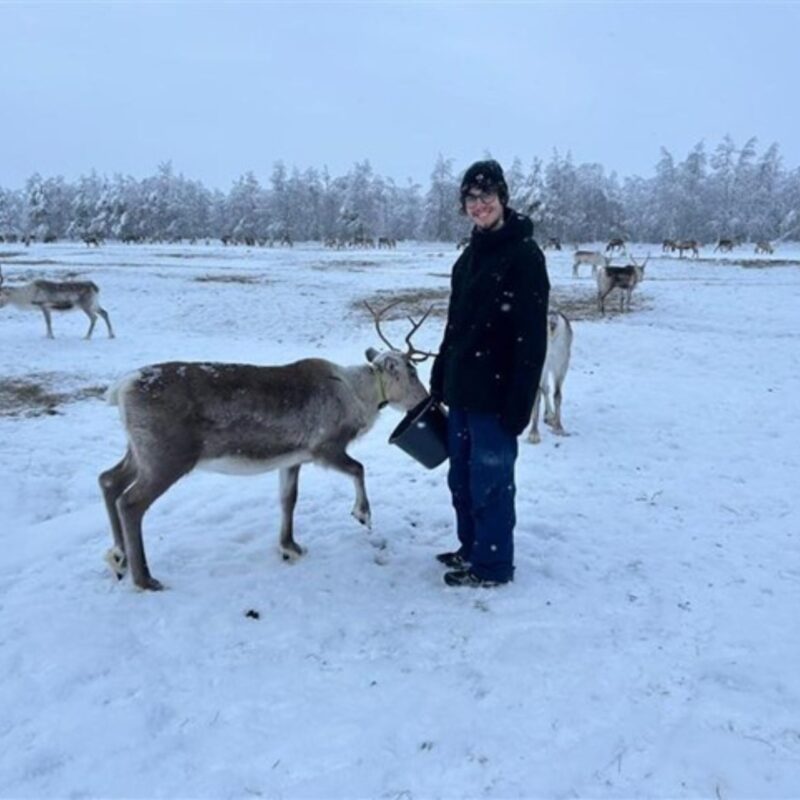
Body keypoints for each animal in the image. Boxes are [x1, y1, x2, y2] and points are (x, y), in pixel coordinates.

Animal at [98, 301, 433, 591]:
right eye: (412, 371)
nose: (426, 399)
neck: (359, 395)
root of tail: (121, 388)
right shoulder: (324, 448)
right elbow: (359, 469)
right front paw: (362, 514)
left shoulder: (293, 457)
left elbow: (288, 499)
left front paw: (290, 547)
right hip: (167, 457)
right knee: (130, 503)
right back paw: (144, 579)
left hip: (139, 451)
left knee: (109, 479)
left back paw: (119, 557)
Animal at [527, 310, 573, 444]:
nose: (552, 324)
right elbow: (537, 397)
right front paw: (534, 434)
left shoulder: (561, 366)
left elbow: (557, 395)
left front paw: (559, 427)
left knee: (546, 389)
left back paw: (550, 416)